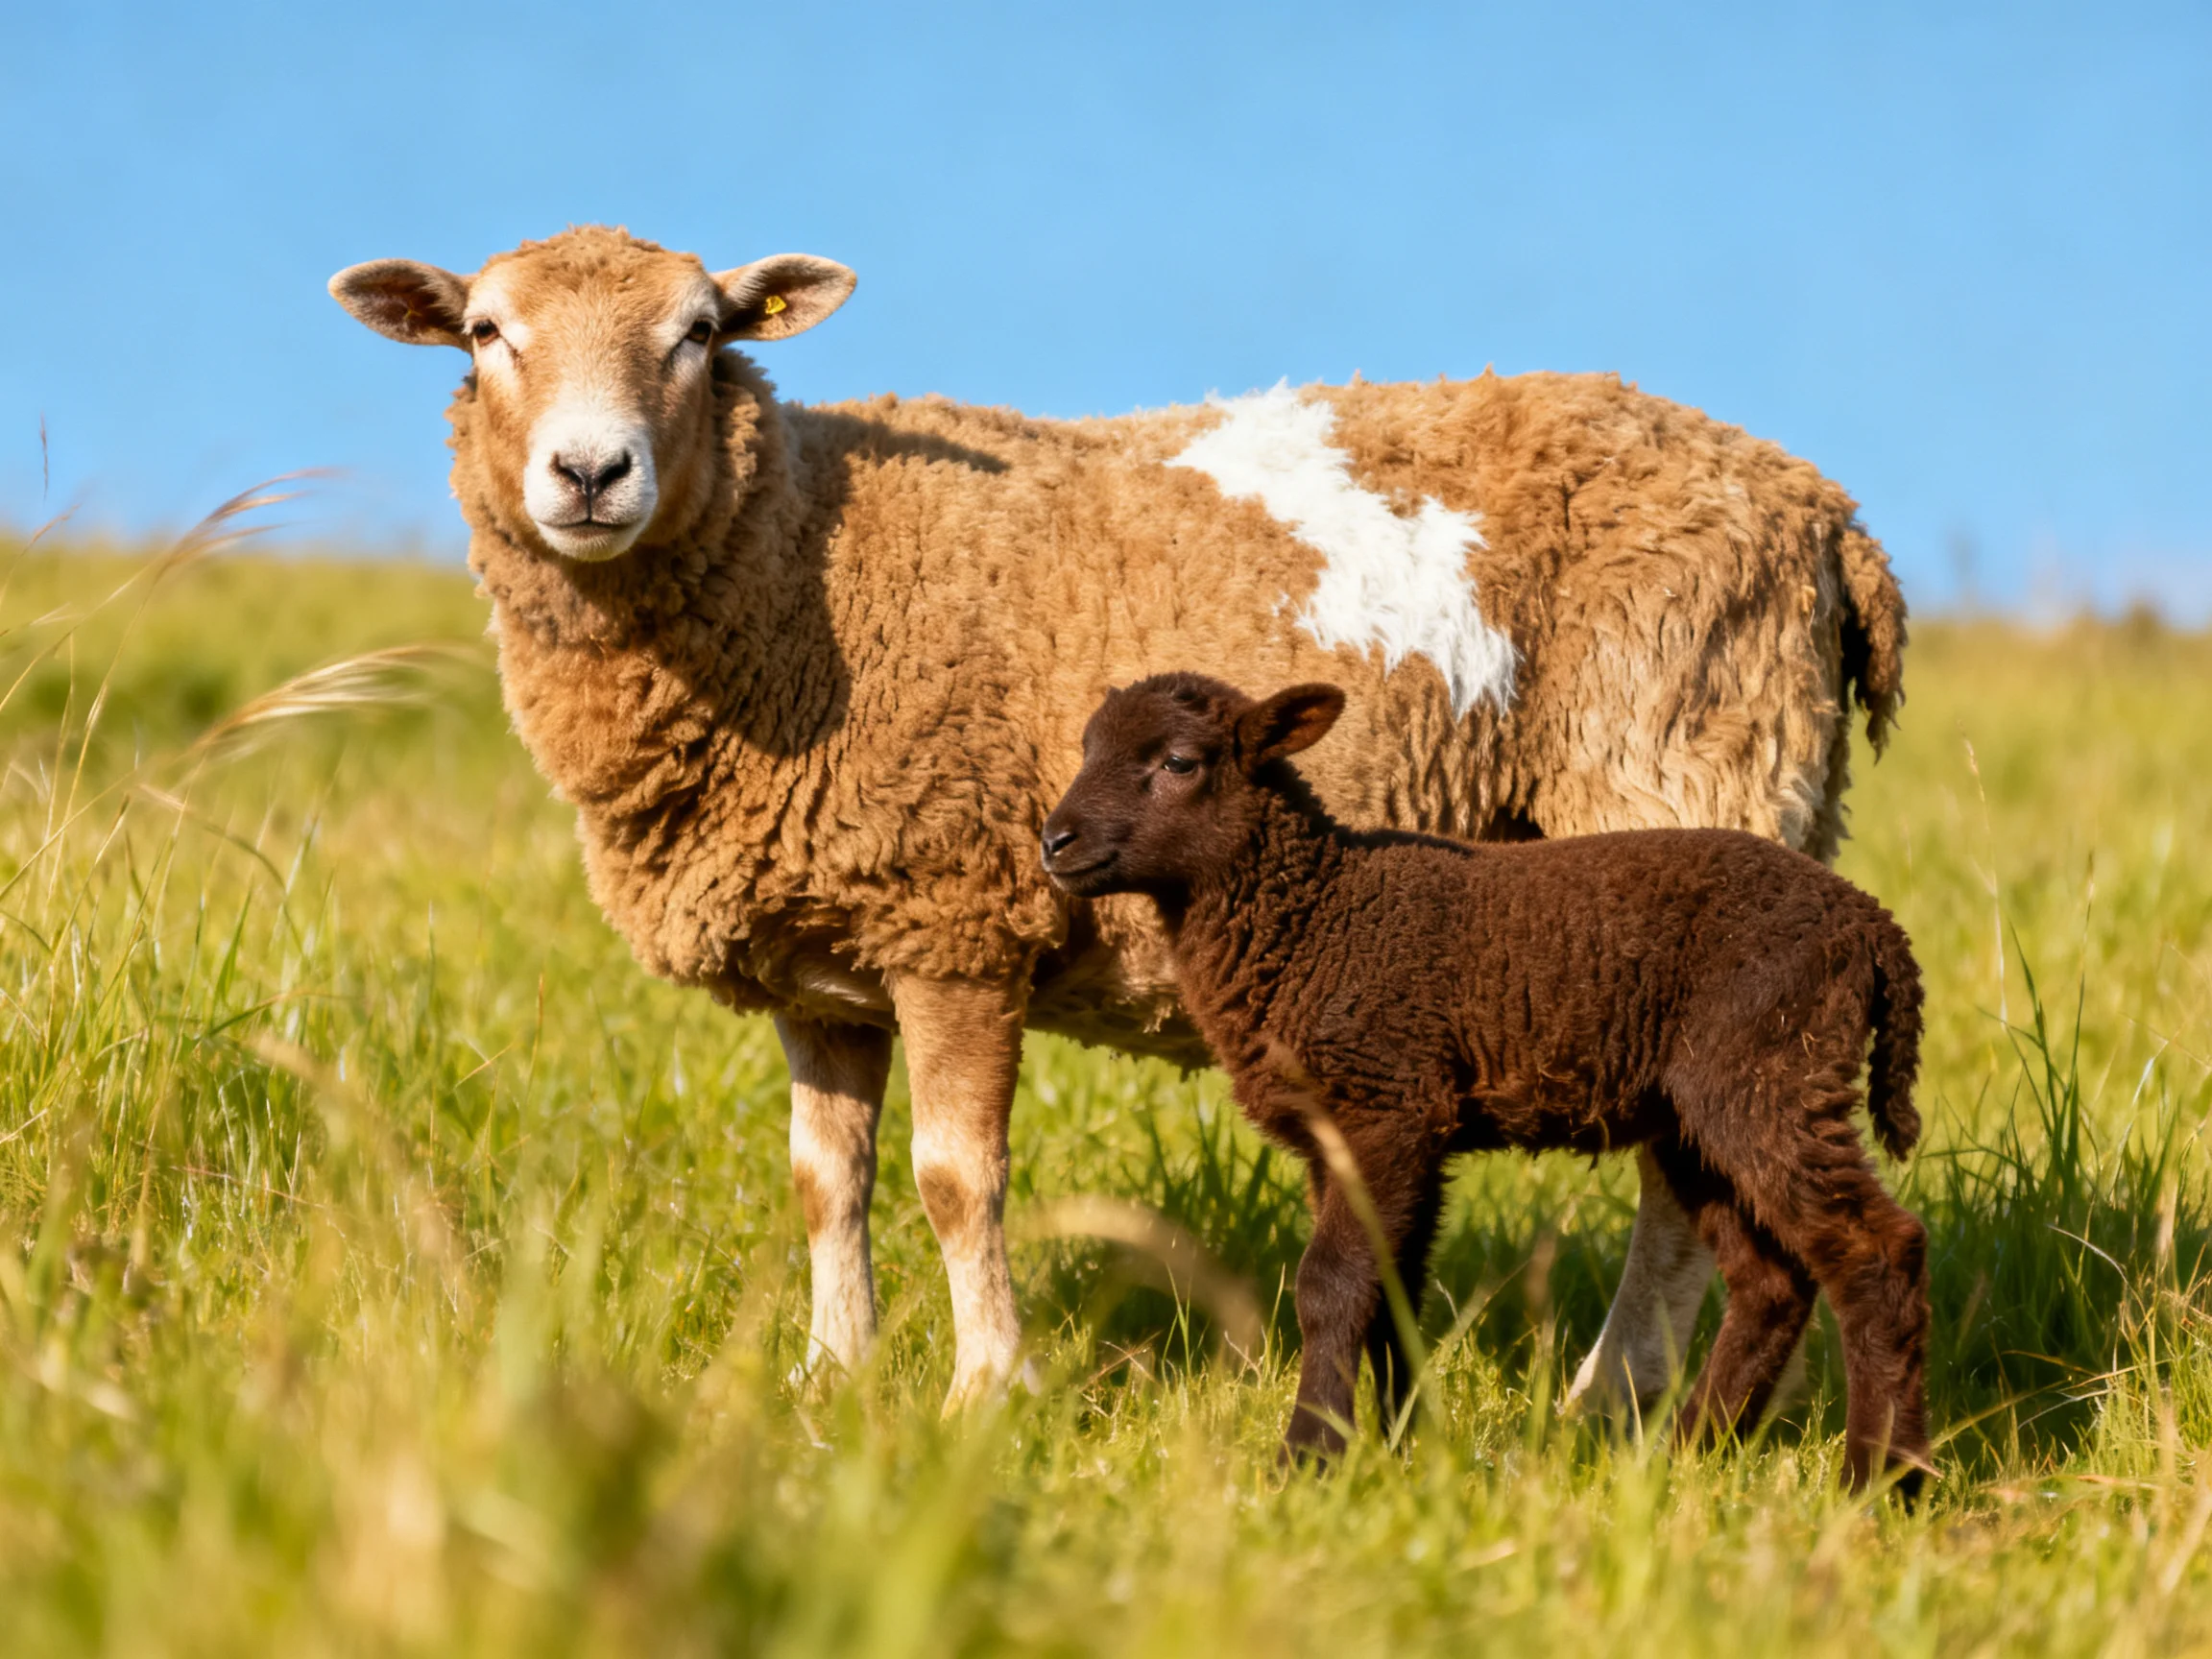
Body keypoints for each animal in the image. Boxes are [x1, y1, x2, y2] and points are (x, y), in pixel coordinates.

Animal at [325, 225, 1908, 1412]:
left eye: (702, 332)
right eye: (484, 332)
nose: (591, 476)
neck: (805, 566)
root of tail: (1822, 514)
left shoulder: (954, 911)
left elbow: (955, 1180)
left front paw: (985, 1393)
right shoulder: (826, 956)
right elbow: (826, 1185)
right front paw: (832, 1381)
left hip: (1686, 783)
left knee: (1680, 1182)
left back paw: (1608, 1401)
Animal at [1040, 672, 1931, 1491]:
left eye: (1179, 762)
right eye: (1085, 748)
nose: (1053, 841)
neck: (1317, 915)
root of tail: (1872, 927)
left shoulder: (1387, 1107)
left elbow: (1331, 1287)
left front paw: (1310, 1458)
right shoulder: (1362, 1133)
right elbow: (1390, 1290)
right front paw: (1405, 1447)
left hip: (1771, 1073)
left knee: (1878, 1253)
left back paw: (1881, 1480)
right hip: (1700, 1117)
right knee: (1772, 1283)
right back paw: (1686, 1458)